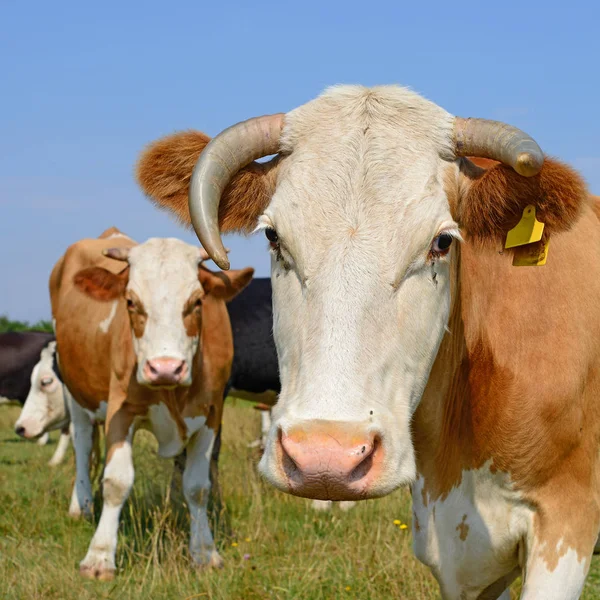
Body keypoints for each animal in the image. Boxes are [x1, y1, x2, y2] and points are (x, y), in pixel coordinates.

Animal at [48, 227, 251, 580]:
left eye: (197, 301)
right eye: (130, 302)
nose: (165, 368)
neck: (172, 392)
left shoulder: (212, 414)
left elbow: (198, 486)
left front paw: (204, 552)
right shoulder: (120, 410)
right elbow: (116, 481)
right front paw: (99, 556)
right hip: (74, 388)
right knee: (82, 442)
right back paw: (82, 504)